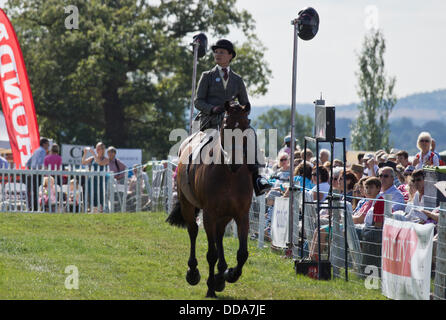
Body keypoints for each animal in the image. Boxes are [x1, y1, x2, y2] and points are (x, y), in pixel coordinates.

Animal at [166, 100, 254, 298]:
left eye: (246, 126)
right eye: (226, 125)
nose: (236, 162)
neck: (230, 174)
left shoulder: (241, 215)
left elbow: (242, 253)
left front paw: (230, 274)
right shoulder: (209, 214)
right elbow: (211, 253)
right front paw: (210, 288)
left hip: (224, 215)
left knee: (219, 236)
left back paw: (220, 276)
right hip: (188, 206)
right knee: (193, 231)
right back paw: (193, 273)